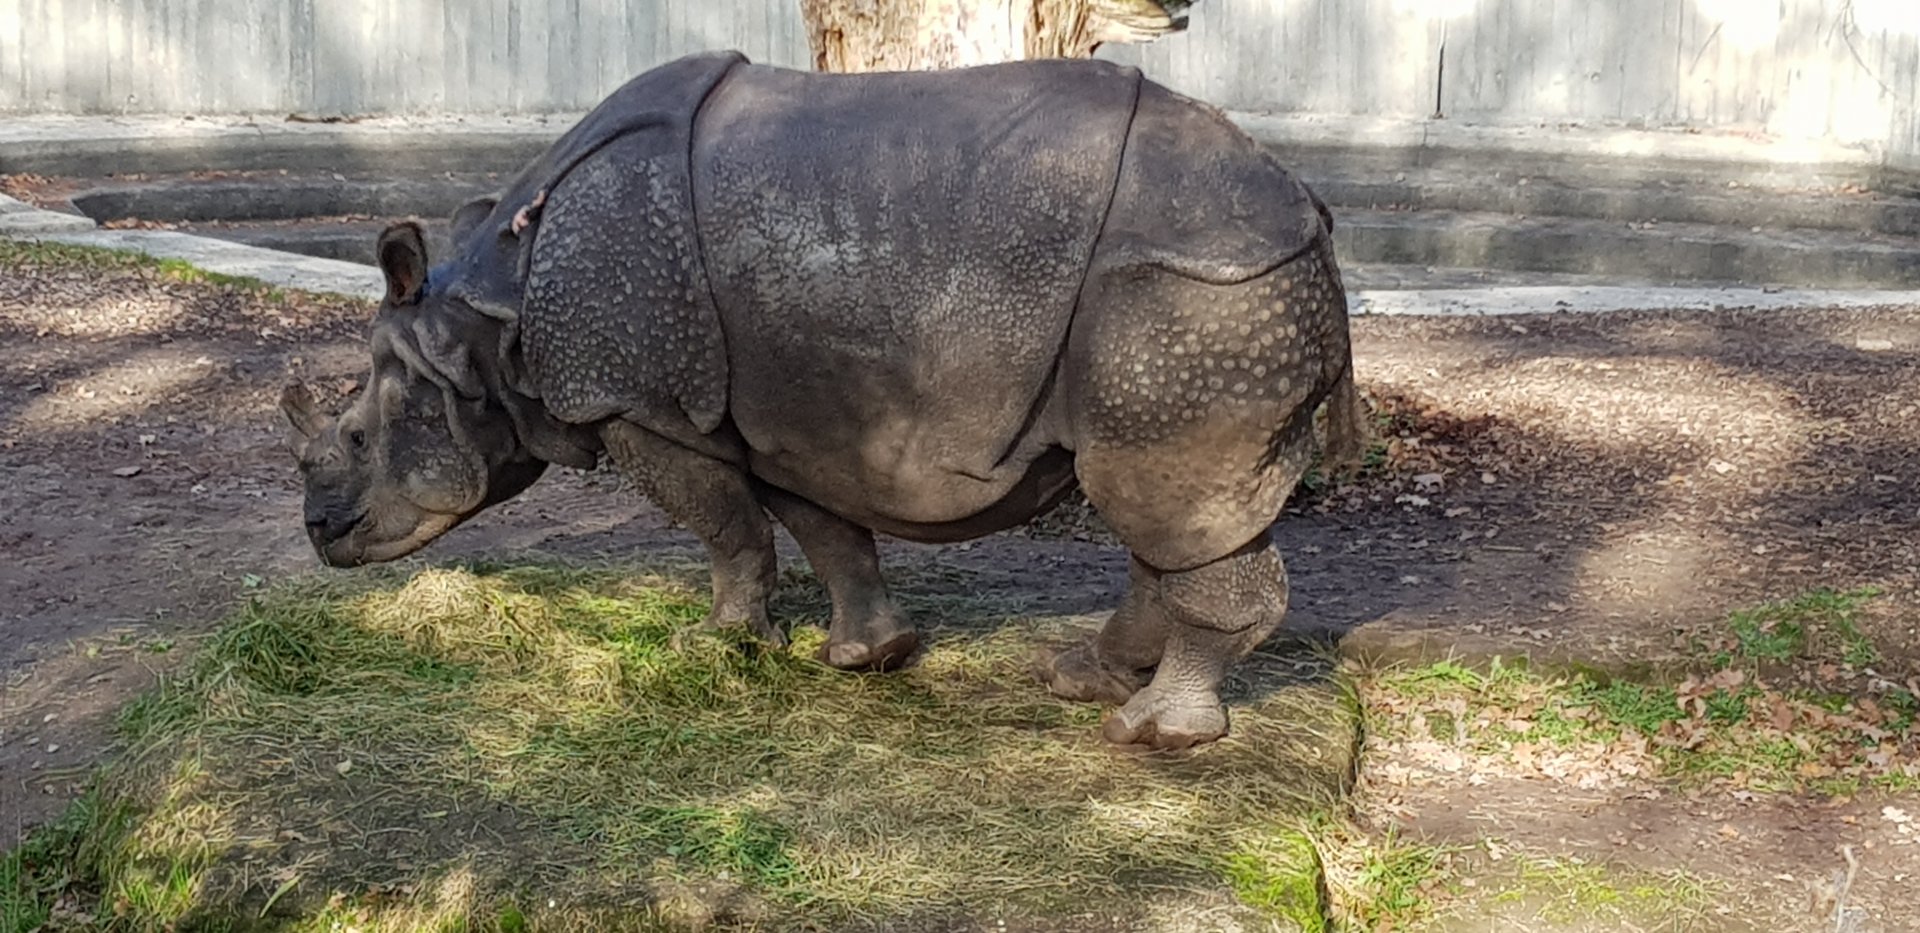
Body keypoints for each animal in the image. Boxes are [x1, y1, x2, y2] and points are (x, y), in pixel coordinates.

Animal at [281, 50, 1365, 750]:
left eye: (357, 434)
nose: (321, 534)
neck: (486, 315)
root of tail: (1311, 210)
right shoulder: (782, 415)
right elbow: (824, 527)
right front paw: (868, 658)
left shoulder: (637, 404)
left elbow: (725, 527)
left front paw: (718, 645)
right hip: (1202, 294)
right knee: (1161, 509)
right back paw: (1079, 679)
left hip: (1197, 293)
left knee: (1161, 494)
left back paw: (1151, 734)